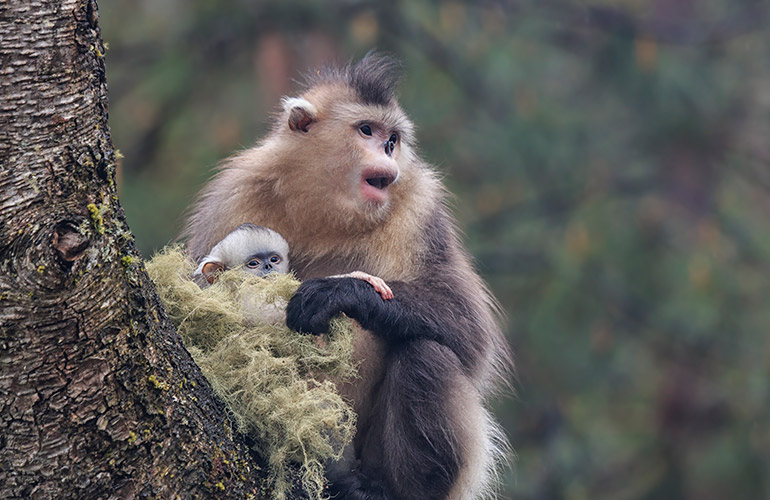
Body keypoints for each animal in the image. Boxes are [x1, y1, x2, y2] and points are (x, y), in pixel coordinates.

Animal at [184, 53, 512, 500]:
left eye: (392, 140)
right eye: (367, 131)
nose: (387, 153)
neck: (327, 214)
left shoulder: (420, 205)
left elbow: (471, 336)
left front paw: (343, 292)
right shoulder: (232, 196)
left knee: (426, 354)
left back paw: (385, 488)